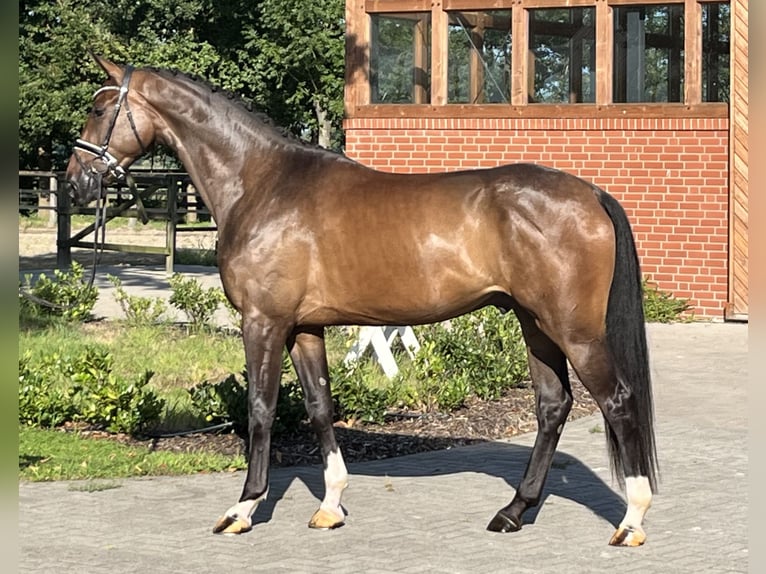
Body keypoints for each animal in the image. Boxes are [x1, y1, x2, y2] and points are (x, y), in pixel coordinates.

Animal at [66, 55, 660, 548]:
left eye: (98, 109)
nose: (75, 182)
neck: (262, 183)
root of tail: (591, 194)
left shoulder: (263, 322)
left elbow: (261, 409)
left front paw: (243, 508)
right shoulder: (304, 328)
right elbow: (319, 406)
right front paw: (330, 505)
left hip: (574, 329)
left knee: (618, 400)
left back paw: (631, 520)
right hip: (534, 323)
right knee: (553, 406)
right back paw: (513, 511)